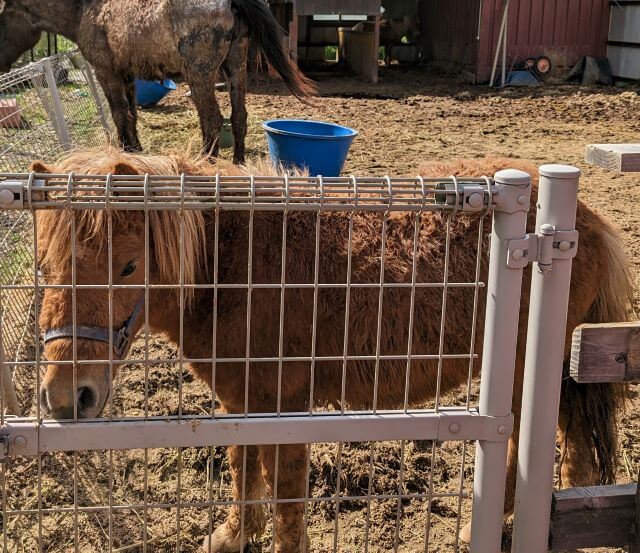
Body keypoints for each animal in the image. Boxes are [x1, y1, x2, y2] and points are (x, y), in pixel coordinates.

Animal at [0, 0, 316, 162]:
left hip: (199, 75)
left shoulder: (106, 73)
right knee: (239, 117)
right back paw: (237, 162)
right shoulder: (126, 75)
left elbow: (118, 114)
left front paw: (124, 151)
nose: (1, 63)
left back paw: (205, 161)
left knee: (212, 118)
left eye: (2, 16)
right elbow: (131, 114)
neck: (86, 9)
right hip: (235, 69)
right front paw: (135, 149)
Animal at [33, 151, 632, 552]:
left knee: (544, 443)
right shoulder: (240, 404)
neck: (241, 267)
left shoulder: (286, 408)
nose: (67, 397)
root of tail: (582, 220)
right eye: (43, 265)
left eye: (129, 266)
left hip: (526, 371)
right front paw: (232, 535)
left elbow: (286, 496)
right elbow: (244, 469)